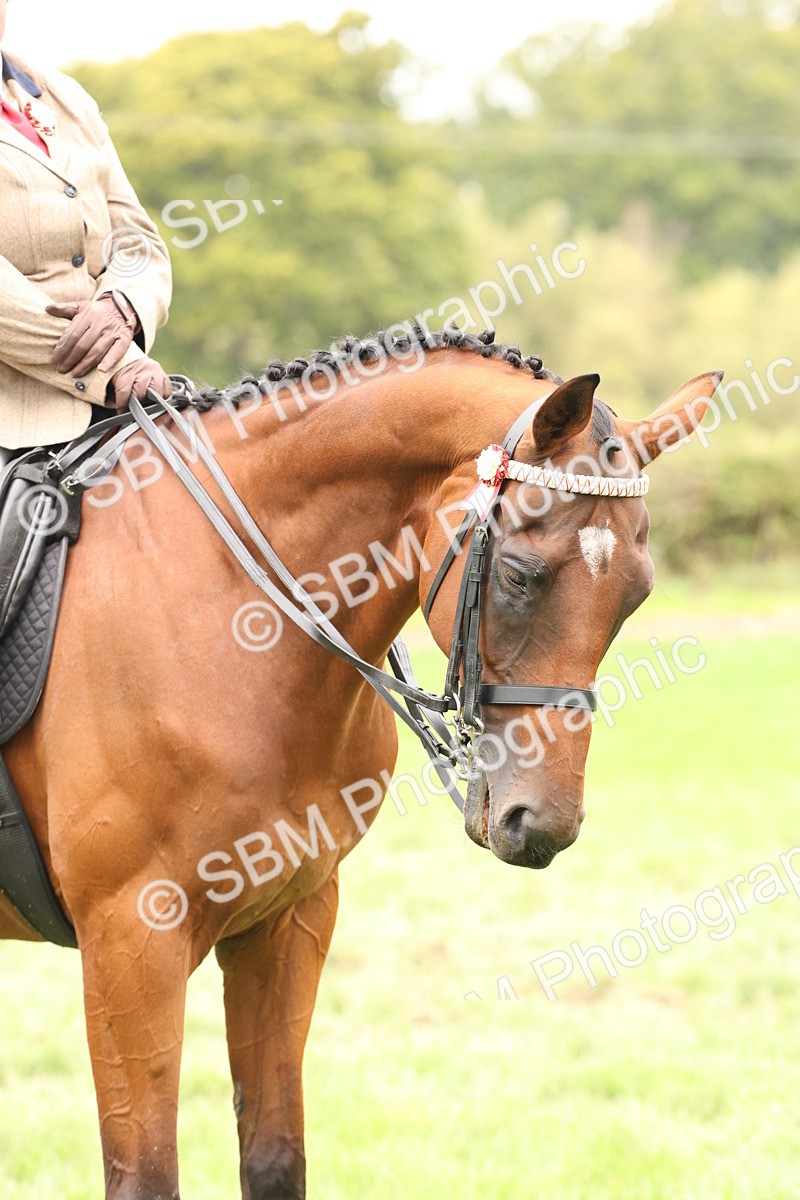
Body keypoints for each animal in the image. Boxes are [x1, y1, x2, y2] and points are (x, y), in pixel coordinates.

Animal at [0, 326, 719, 1199]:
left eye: (637, 594)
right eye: (520, 575)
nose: (541, 823)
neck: (225, 613)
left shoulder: (291, 915)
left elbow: (275, 1157)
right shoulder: (131, 938)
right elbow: (144, 1176)